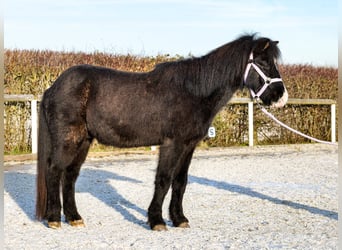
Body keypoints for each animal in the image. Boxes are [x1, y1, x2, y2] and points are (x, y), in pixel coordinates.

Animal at [36, 33, 288, 230]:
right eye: (263, 63)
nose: (281, 97)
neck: (193, 91)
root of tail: (53, 88)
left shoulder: (188, 146)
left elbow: (180, 182)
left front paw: (179, 219)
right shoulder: (172, 144)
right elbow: (164, 180)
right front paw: (156, 220)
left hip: (84, 141)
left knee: (70, 176)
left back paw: (74, 218)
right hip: (68, 141)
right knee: (54, 171)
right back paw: (54, 218)